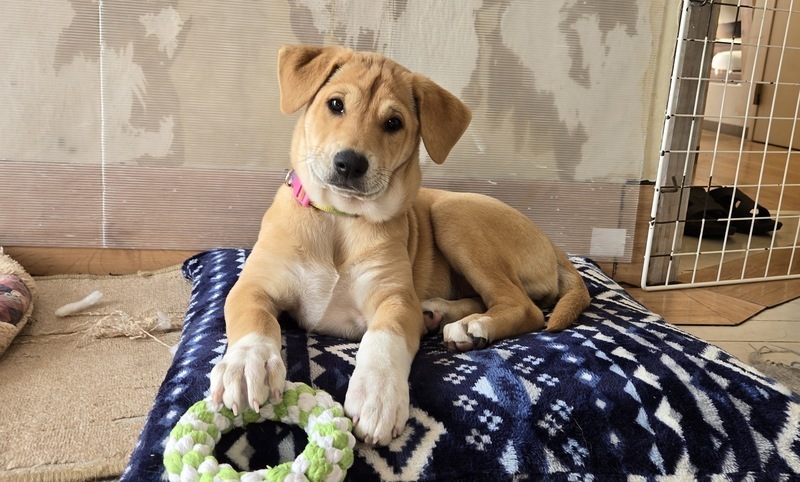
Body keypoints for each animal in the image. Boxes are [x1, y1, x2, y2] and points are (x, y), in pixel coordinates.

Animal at [209, 44, 591, 446]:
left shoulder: (392, 297)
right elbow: (255, 318)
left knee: (524, 307)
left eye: (394, 123)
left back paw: (472, 327)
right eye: (335, 104)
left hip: (454, 215)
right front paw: (248, 363)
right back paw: (442, 315)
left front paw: (377, 395)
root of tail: (553, 247)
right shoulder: (254, 285)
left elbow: (383, 340)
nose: (349, 163)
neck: (339, 220)